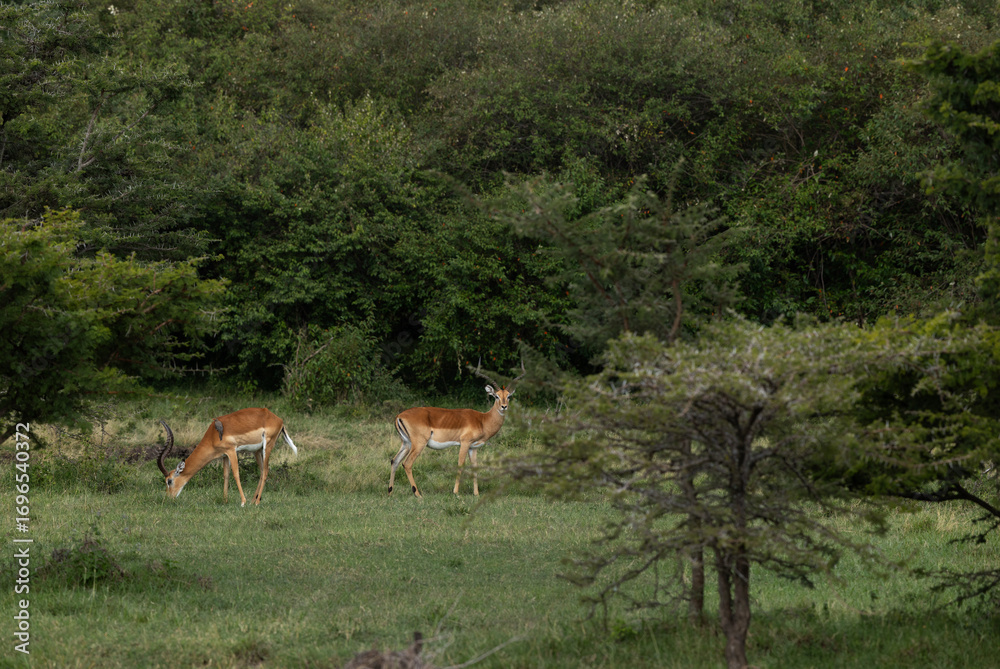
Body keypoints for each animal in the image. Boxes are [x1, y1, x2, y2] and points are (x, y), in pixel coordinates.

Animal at [156, 407, 297, 506]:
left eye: (169, 481)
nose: (169, 498)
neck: (213, 434)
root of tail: (279, 420)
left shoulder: (231, 450)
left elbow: (236, 473)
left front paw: (243, 502)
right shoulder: (224, 455)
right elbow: (226, 475)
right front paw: (225, 500)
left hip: (267, 446)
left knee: (266, 471)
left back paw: (256, 502)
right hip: (257, 451)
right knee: (262, 471)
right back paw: (253, 501)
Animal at [389, 362, 525, 497]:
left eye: (509, 396)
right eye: (496, 396)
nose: (504, 406)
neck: (482, 420)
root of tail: (399, 416)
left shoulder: (473, 448)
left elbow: (475, 467)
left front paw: (476, 494)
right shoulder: (464, 443)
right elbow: (460, 465)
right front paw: (456, 492)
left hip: (406, 443)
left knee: (394, 461)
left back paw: (390, 492)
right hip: (419, 444)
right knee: (407, 463)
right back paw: (418, 494)